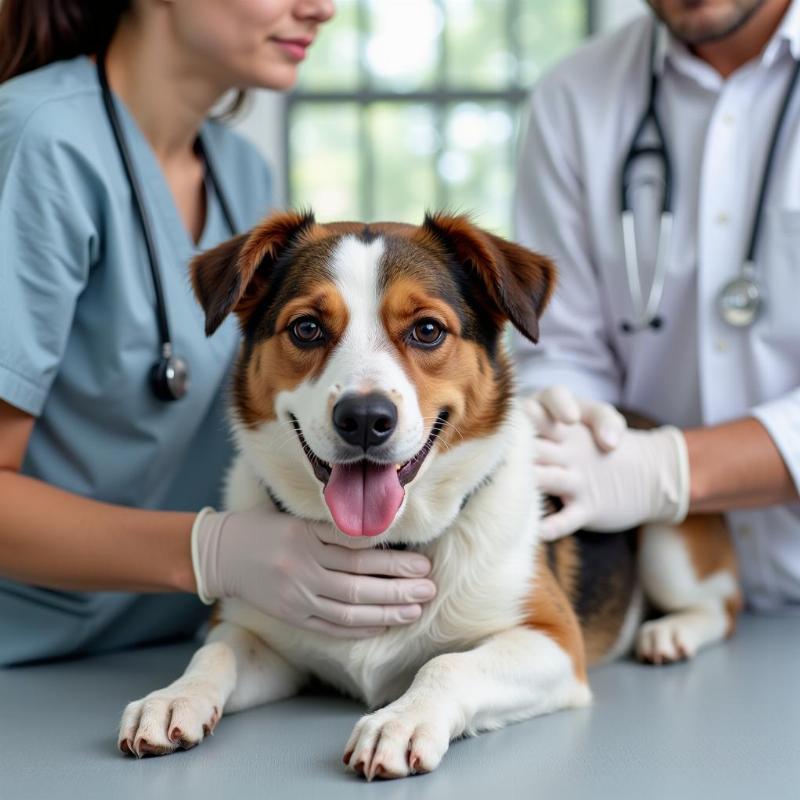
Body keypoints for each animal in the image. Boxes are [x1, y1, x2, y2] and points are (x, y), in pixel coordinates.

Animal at [115, 209, 740, 780]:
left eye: (428, 330)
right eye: (307, 328)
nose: (365, 419)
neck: (382, 546)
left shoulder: (554, 641)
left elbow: (447, 667)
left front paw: (401, 719)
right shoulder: (263, 638)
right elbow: (215, 650)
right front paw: (173, 696)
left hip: (667, 544)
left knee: (722, 606)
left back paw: (670, 632)